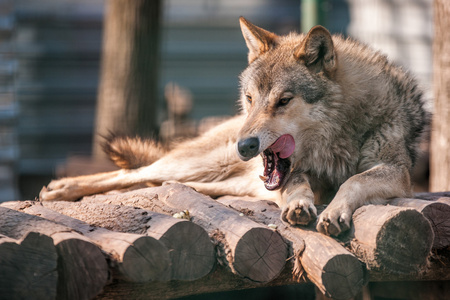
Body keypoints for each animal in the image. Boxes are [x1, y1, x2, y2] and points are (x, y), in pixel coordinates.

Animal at [38, 17, 428, 237]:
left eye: (283, 101)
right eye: (250, 98)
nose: (245, 146)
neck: (339, 137)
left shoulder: (396, 172)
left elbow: (354, 181)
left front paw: (333, 211)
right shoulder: (296, 173)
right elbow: (298, 185)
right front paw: (300, 206)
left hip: (217, 176)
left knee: (158, 182)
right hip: (199, 162)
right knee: (132, 174)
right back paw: (61, 188)